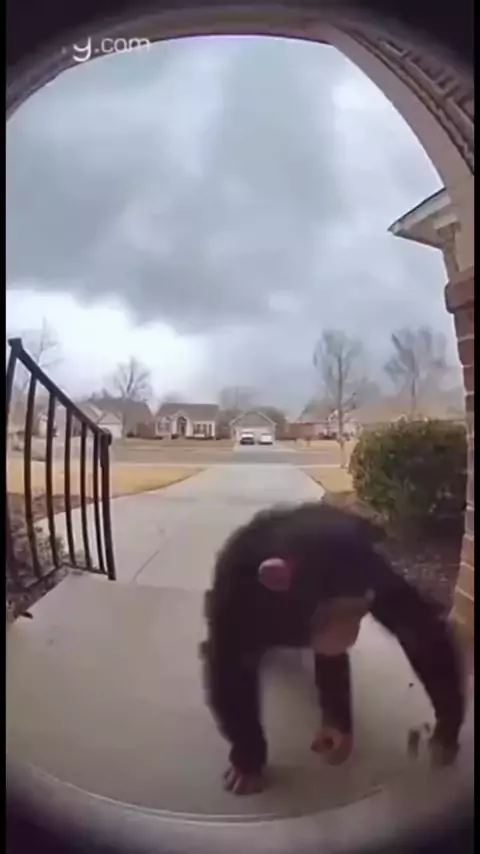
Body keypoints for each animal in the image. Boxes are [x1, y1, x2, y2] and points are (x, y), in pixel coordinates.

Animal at [201, 502, 465, 795]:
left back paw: (337, 729)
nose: (350, 631)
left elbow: (415, 628)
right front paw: (248, 761)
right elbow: (233, 666)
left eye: (359, 610)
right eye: (337, 612)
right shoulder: (234, 596)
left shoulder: (376, 573)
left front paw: (446, 730)